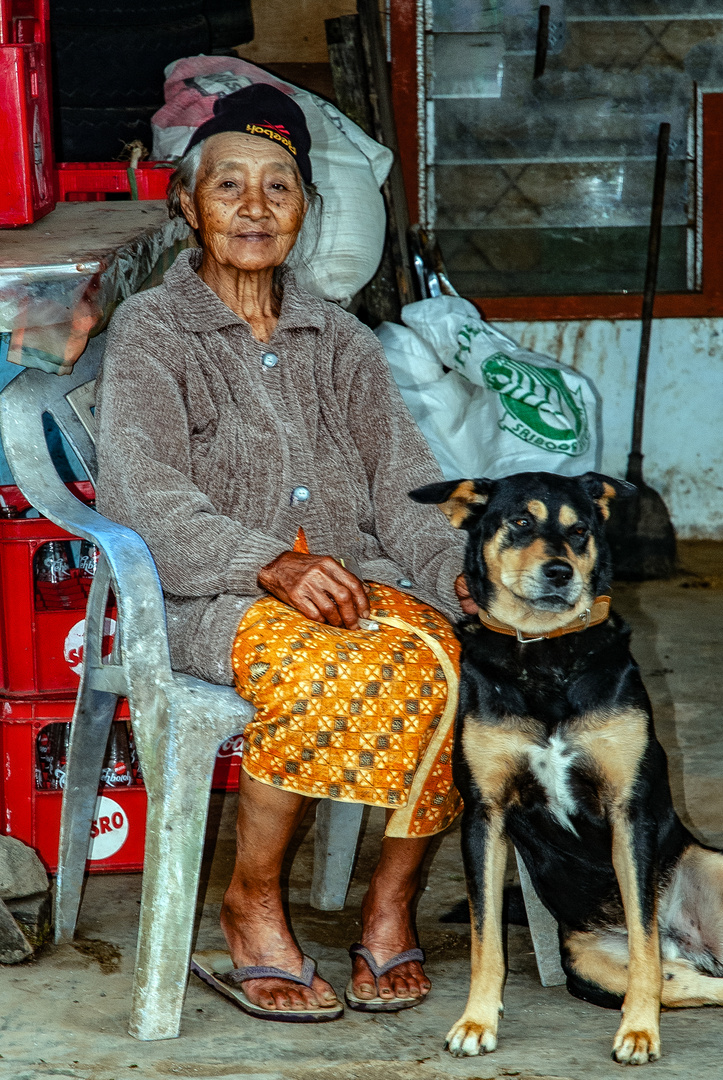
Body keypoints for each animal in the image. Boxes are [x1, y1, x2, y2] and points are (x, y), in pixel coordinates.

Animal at [414, 473, 723, 1062]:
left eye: (579, 530)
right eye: (520, 522)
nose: (560, 572)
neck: (545, 652)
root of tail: (686, 941)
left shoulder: (628, 811)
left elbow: (644, 940)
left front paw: (639, 1031)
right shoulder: (484, 814)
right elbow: (485, 938)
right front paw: (476, 1021)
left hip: (713, 872)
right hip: (586, 962)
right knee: (696, 980)